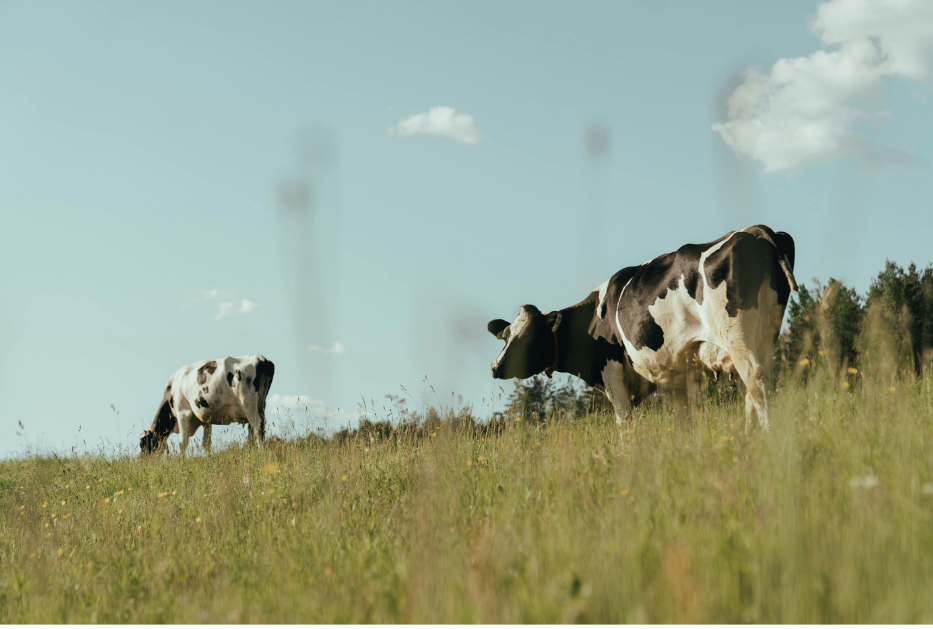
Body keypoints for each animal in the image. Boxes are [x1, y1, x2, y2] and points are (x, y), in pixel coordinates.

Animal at [139, 355, 274, 455]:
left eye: (143, 444)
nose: (141, 460)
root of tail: (261, 358)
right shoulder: (205, 419)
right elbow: (206, 444)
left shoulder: (183, 412)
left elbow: (183, 442)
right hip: (260, 405)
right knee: (255, 429)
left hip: (248, 404)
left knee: (257, 426)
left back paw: (261, 452)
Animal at [487, 225, 797, 432]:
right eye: (505, 337)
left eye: (529, 338)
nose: (495, 366)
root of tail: (756, 231)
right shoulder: (676, 375)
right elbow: (683, 421)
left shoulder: (611, 370)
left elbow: (624, 421)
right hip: (765, 333)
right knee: (754, 386)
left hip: (737, 336)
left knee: (755, 378)